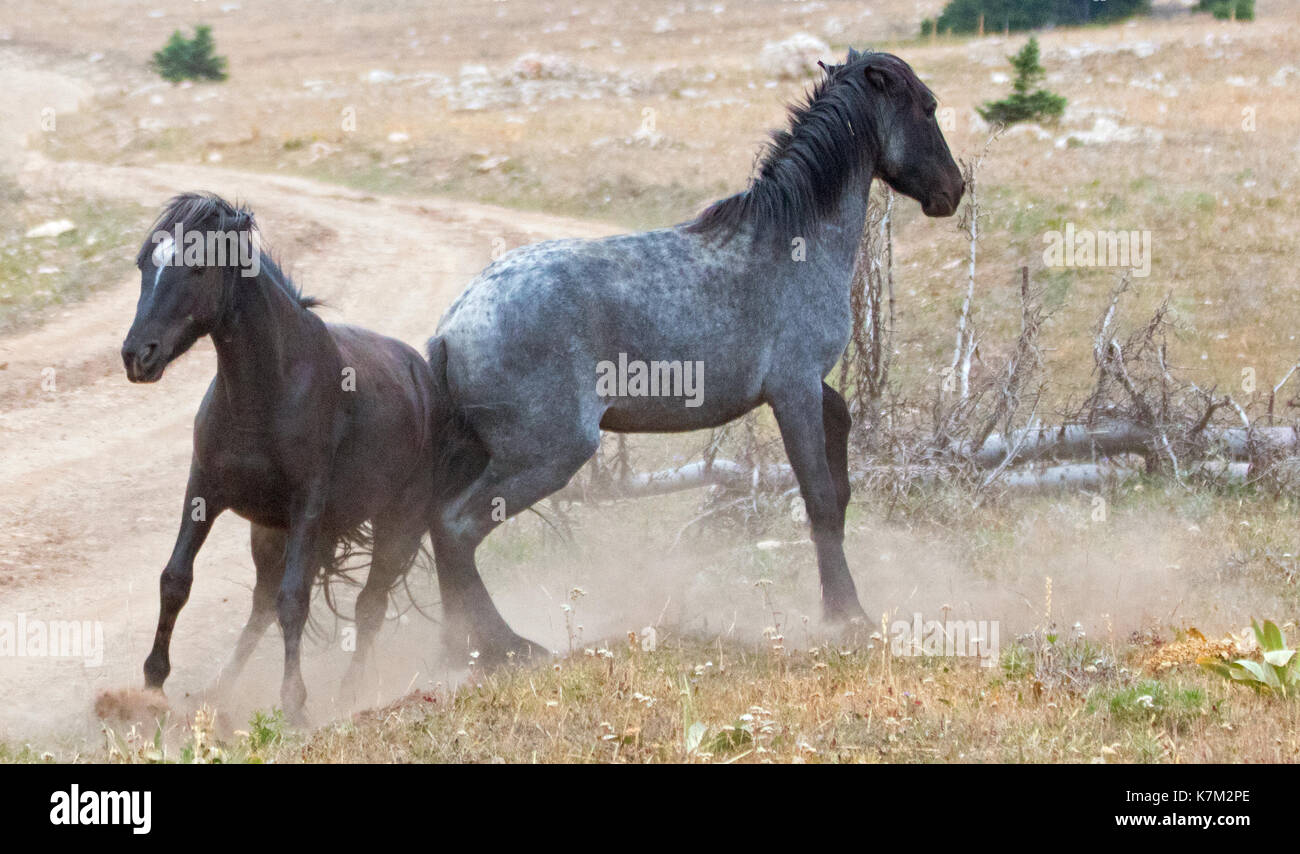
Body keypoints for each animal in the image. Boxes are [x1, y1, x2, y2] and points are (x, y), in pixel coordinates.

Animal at [121, 193, 442, 721]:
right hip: (272, 533)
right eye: (145, 265)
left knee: (368, 605)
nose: (136, 356)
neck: (266, 392)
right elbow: (176, 581)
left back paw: (350, 693)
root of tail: (423, 376)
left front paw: (295, 705)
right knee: (262, 605)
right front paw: (151, 688)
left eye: (197, 267)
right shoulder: (204, 491)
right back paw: (218, 692)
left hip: (398, 526)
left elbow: (295, 603)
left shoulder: (307, 505)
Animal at [424, 49, 964, 662]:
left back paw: (464, 649)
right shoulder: (793, 389)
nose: (954, 189)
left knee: (442, 529)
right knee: (457, 527)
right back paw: (505, 648)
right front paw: (846, 614)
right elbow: (820, 499)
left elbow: (841, 444)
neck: (793, 240)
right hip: (548, 456)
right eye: (928, 107)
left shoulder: (805, 387)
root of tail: (453, 326)